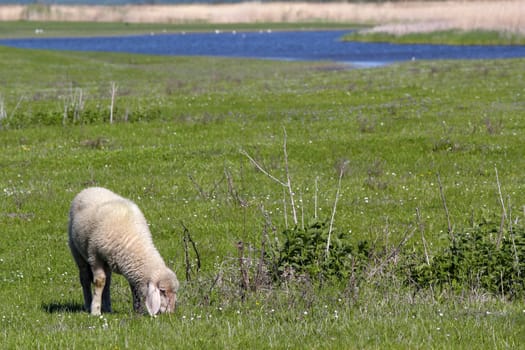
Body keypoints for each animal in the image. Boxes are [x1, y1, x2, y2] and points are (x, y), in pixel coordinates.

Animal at [67, 187, 179, 316]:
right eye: (162, 291)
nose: (170, 313)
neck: (132, 240)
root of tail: (91, 188)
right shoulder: (94, 255)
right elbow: (99, 281)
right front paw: (95, 310)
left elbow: (133, 287)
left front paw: (138, 311)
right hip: (76, 249)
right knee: (85, 278)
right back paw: (88, 305)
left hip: (107, 261)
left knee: (108, 282)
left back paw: (107, 307)